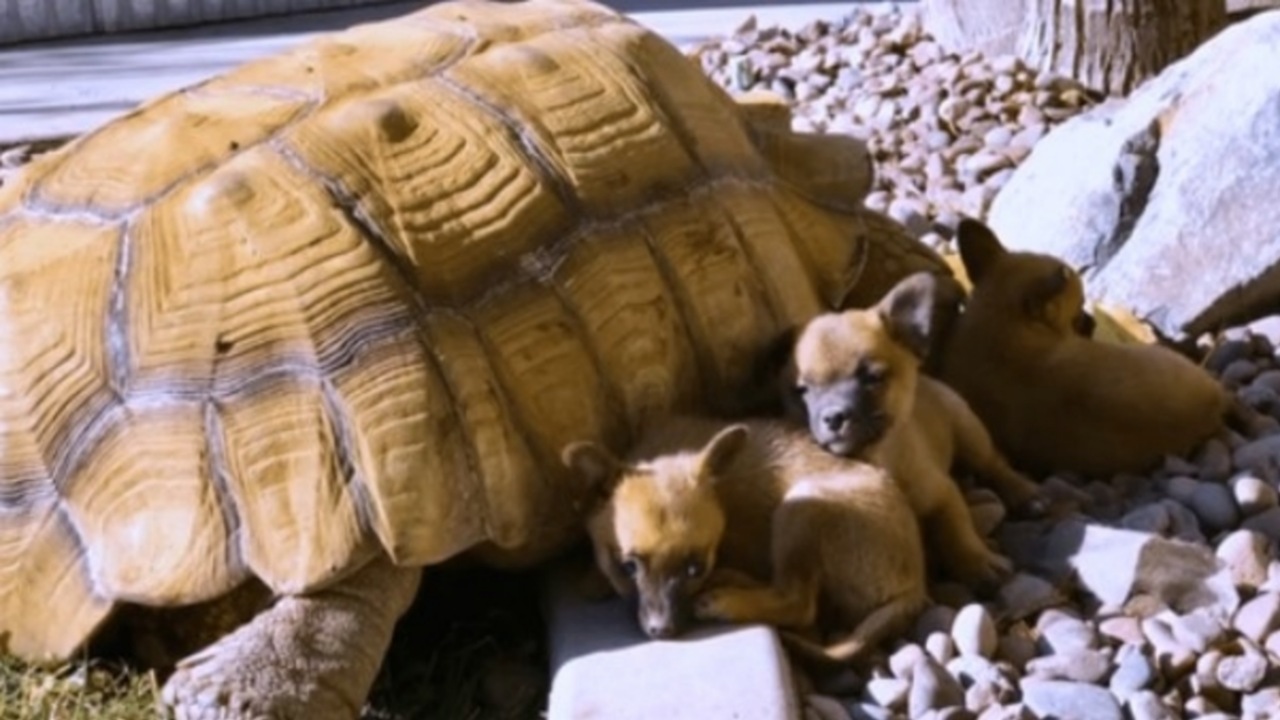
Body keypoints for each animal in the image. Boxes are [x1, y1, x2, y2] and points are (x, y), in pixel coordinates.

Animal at [565, 415, 926, 666]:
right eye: (626, 567)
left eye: (695, 568)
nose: (663, 630)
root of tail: (916, 586)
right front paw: (594, 578)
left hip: (801, 504)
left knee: (798, 602)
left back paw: (727, 599)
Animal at [783, 271, 1044, 586]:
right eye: (801, 390)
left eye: (873, 377)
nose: (834, 416)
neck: (878, 457)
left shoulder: (943, 494)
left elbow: (957, 531)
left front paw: (978, 561)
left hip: (969, 433)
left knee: (994, 463)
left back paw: (1022, 492)